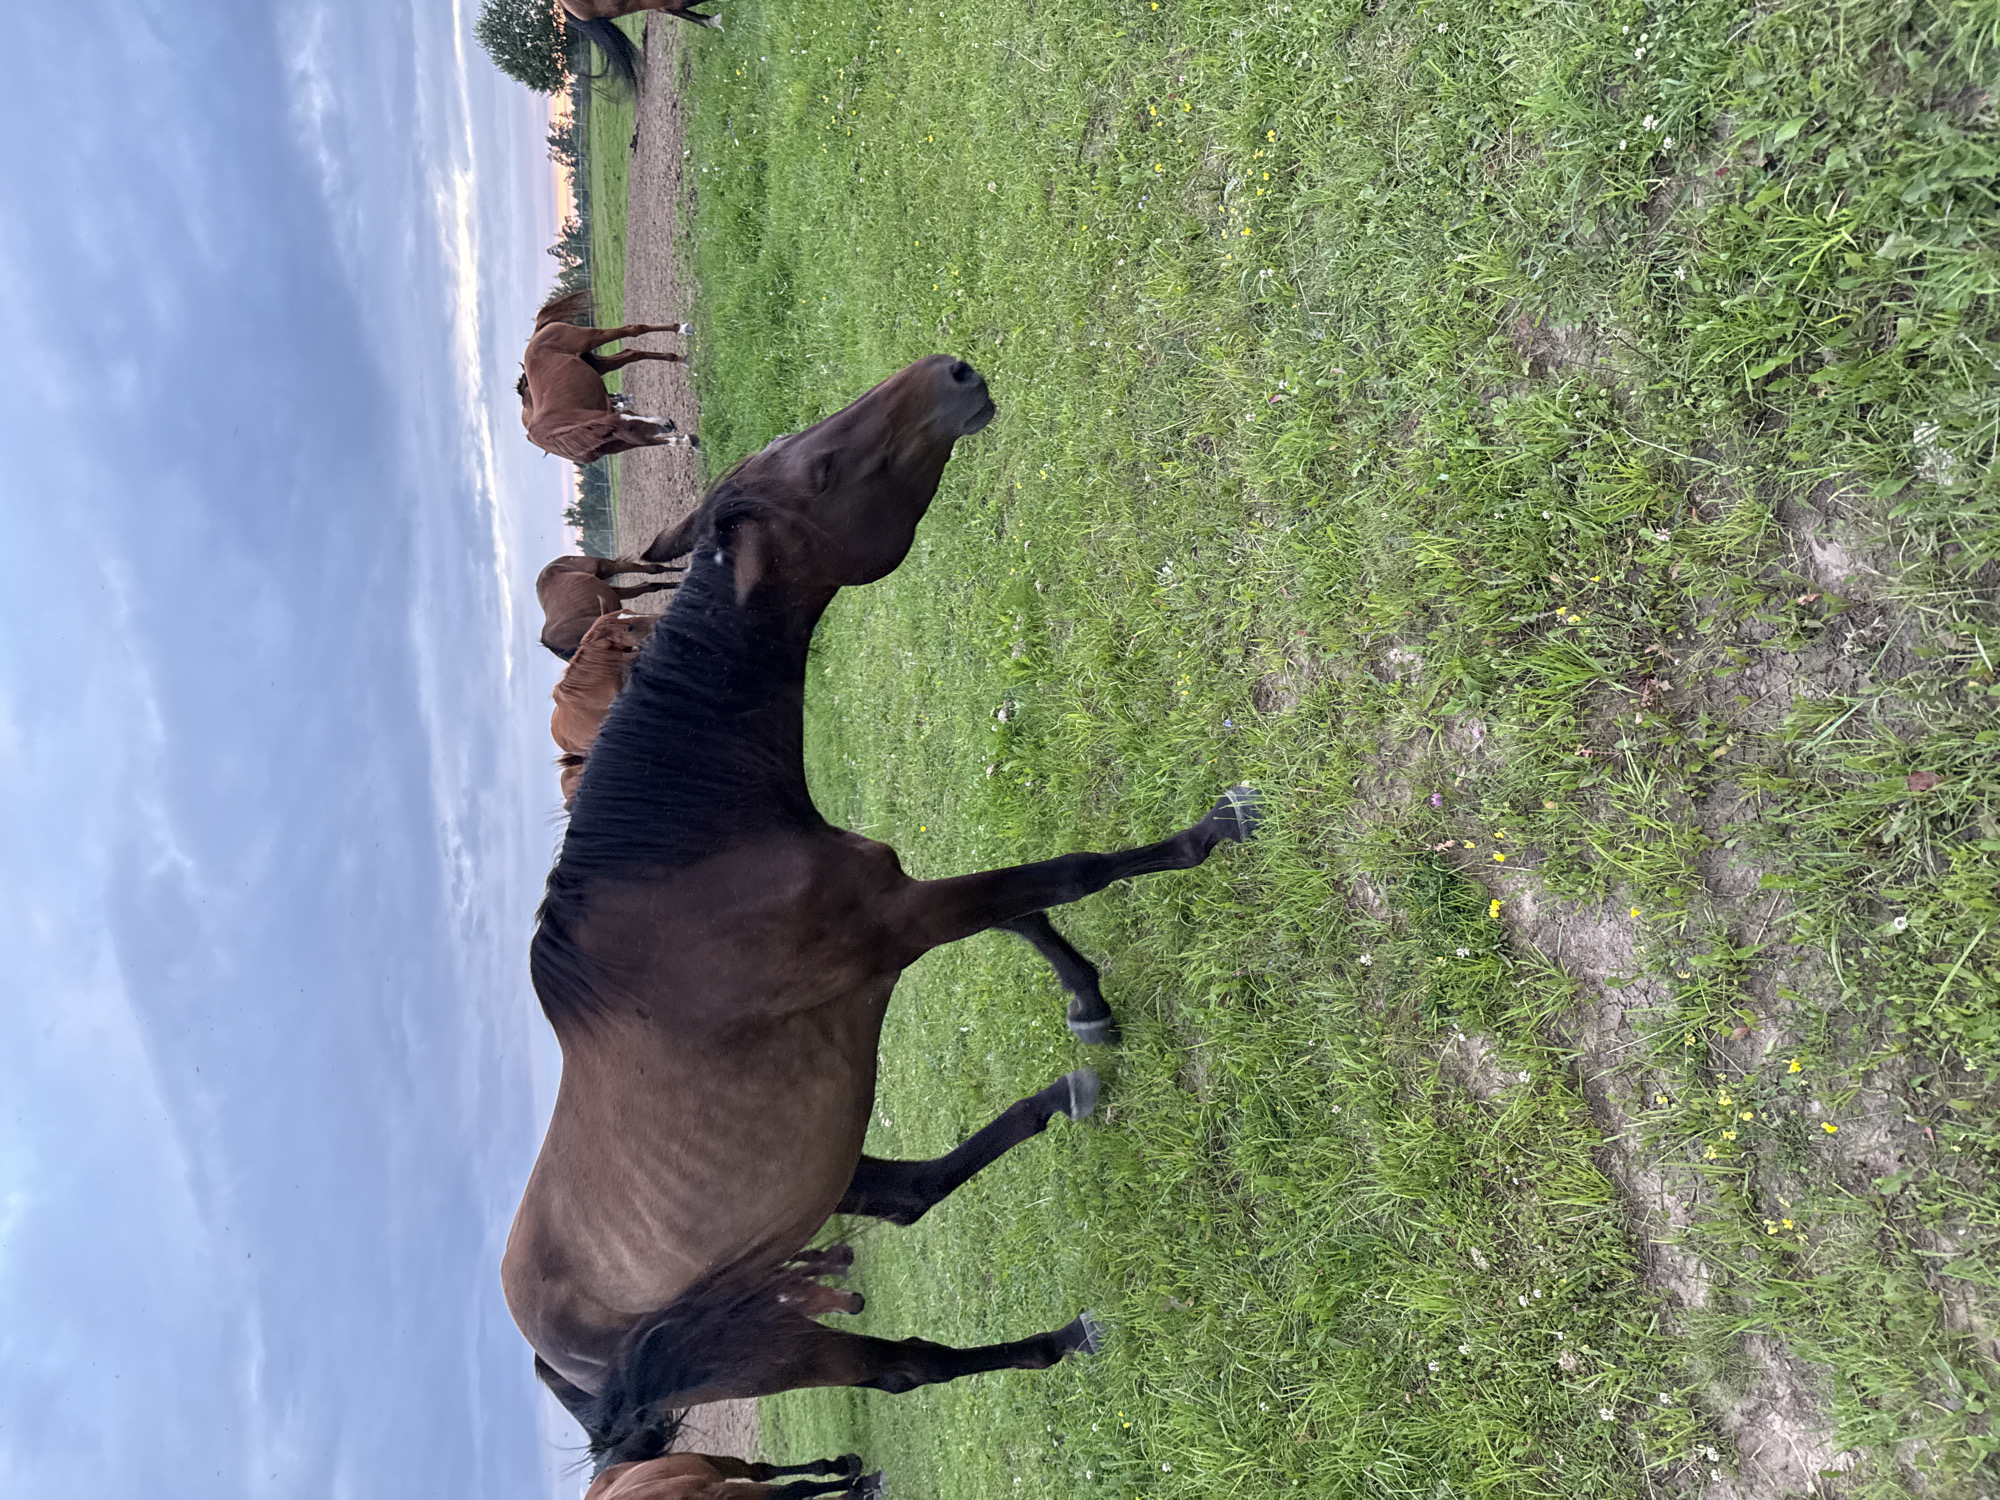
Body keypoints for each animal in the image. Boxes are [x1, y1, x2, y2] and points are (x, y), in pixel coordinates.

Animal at [520, 290, 697, 465]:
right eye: (629, 426)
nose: (667, 423)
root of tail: (537, 334)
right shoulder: (623, 440)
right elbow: (654, 441)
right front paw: (686, 441)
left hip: (591, 337)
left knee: (634, 330)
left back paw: (682, 329)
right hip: (599, 364)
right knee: (632, 354)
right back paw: (680, 358)